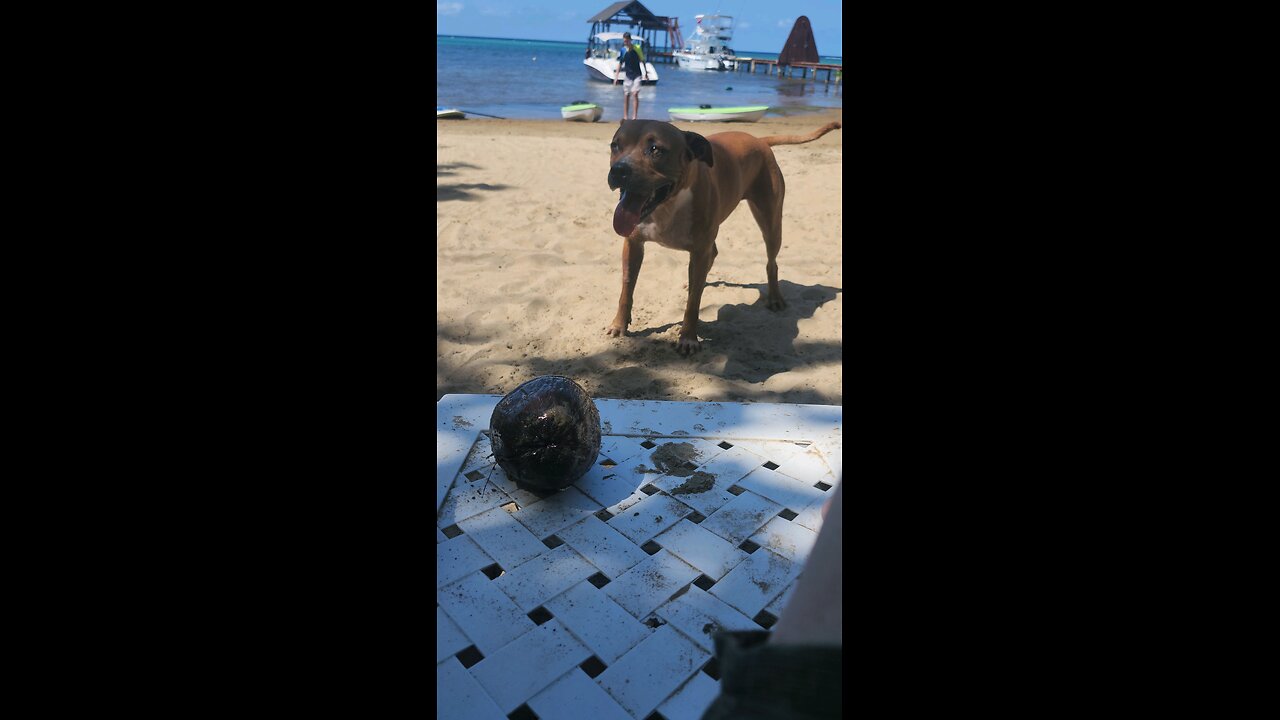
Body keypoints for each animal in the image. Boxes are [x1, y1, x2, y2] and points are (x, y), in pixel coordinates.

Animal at [606, 118, 839, 353]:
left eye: (655, 149)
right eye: (615, 145)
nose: (619, 170)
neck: (667, 206)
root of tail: (760, 140)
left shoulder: (699, 252)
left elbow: (693, 302)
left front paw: (688, 337)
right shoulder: (633, 244)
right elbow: (627, 288)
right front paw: (619, 324)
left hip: (771, 222)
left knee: (771, 261)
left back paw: (774, 297)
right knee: (714, 255)